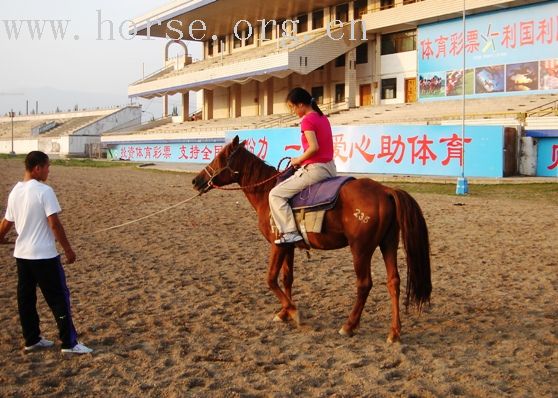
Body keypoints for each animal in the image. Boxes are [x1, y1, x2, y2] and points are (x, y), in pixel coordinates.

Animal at [192, 137, 434, 342]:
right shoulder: (287, 245)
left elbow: (270, 279)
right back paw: (394, 332)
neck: (266, 191)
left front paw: (293, 312)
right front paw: (284, 313)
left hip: (361, 249)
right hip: (388, 244)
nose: (196, 180)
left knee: (364, 284)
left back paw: (349, 325)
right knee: (393, 282)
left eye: (219, 158)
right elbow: (287, 278)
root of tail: (385, 190)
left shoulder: (277, 246)